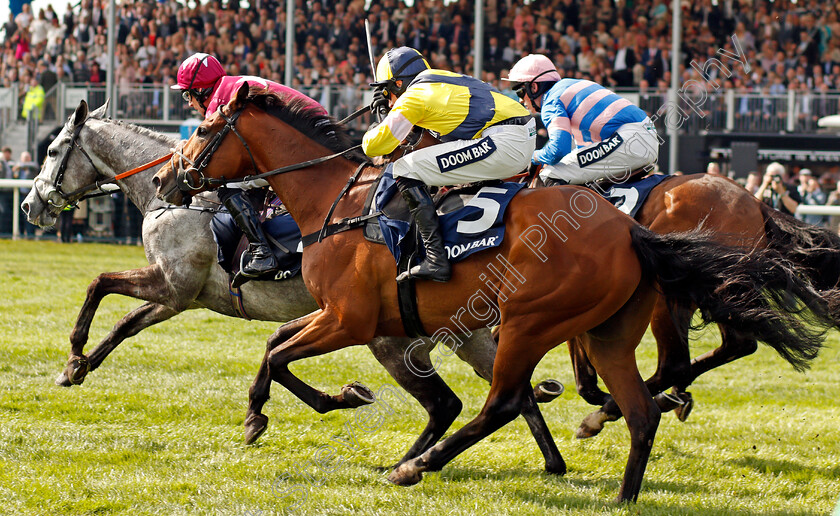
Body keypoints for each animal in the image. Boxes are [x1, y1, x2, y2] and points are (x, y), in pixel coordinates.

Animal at [23, 99, 564, 470]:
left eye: (51, 150)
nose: (30, 205)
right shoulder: (181, 297)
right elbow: (124, 324)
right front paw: (78, 367)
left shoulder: (173, 288)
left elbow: (100, 285)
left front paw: (73, 357)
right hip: (462, 334)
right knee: (512, 391)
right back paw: (550, 463)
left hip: (393, 341)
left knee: (453, 400)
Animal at [154, 85, 836, 504]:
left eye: (207, 127)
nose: (165, 178)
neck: (336, 202)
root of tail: (632, 230)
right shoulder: (347, 318)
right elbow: (275, 346)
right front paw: (291, 407)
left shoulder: (349, 319)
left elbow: (277, 354)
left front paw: (283, 411)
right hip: (612, 327)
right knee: (642, 402)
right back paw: (621, 480)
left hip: (533, 321)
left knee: (507, 401)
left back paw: (419, 466)